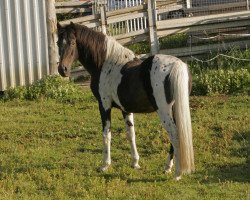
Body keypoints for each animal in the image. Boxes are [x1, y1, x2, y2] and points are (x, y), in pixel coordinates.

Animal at [57, 21, 194, 180]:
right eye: (58, 43)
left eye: (72, 42)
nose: (62, 70)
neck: (105, 64)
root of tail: (176, 65)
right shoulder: (126, 109)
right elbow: (130, 134)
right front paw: (135, 163)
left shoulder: (104, 105)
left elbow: (106, 134)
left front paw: (105, 165)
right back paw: (167, 167)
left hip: (165, 112)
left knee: (175, 136)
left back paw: (177, 173)